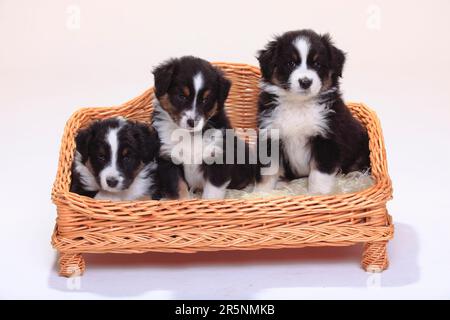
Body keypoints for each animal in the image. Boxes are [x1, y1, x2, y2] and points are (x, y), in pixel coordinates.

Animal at [151, 56, 256, 199]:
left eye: (205, 100)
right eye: (181, 96)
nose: (192, 122)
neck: (189, 135)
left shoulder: (218, 157)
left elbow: (212, 192)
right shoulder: (167, 159)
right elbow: (179, 187)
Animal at [255, 30, 370, 195]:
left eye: (317, 64)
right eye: (290, 63)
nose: (305, 82)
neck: (299, 105)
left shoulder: (327, 138)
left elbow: (318, 174)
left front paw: (317, 194)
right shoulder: (271, 135)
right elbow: (268, 171)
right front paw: (261, 193)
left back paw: (355, 175)